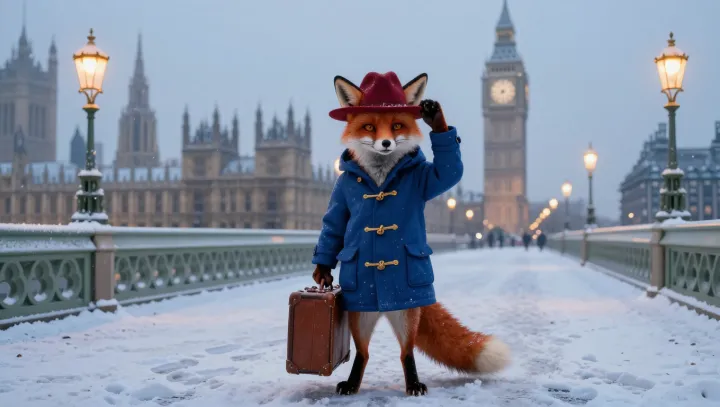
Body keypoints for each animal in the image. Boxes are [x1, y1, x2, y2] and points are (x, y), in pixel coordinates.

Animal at [312, 72, 510, 396]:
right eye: (369, 126)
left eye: (397, 125)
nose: (385, 142)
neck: (380, 175)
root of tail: (384, 310)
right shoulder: (341, 193)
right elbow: (334, 223)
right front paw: (322, 269)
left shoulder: (427, 179)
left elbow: (448, 172)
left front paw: (436, 118)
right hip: (359, 315)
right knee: (363, 353)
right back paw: (352, 384)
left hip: (407, 313)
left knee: (406, 351)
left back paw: (414, 384)